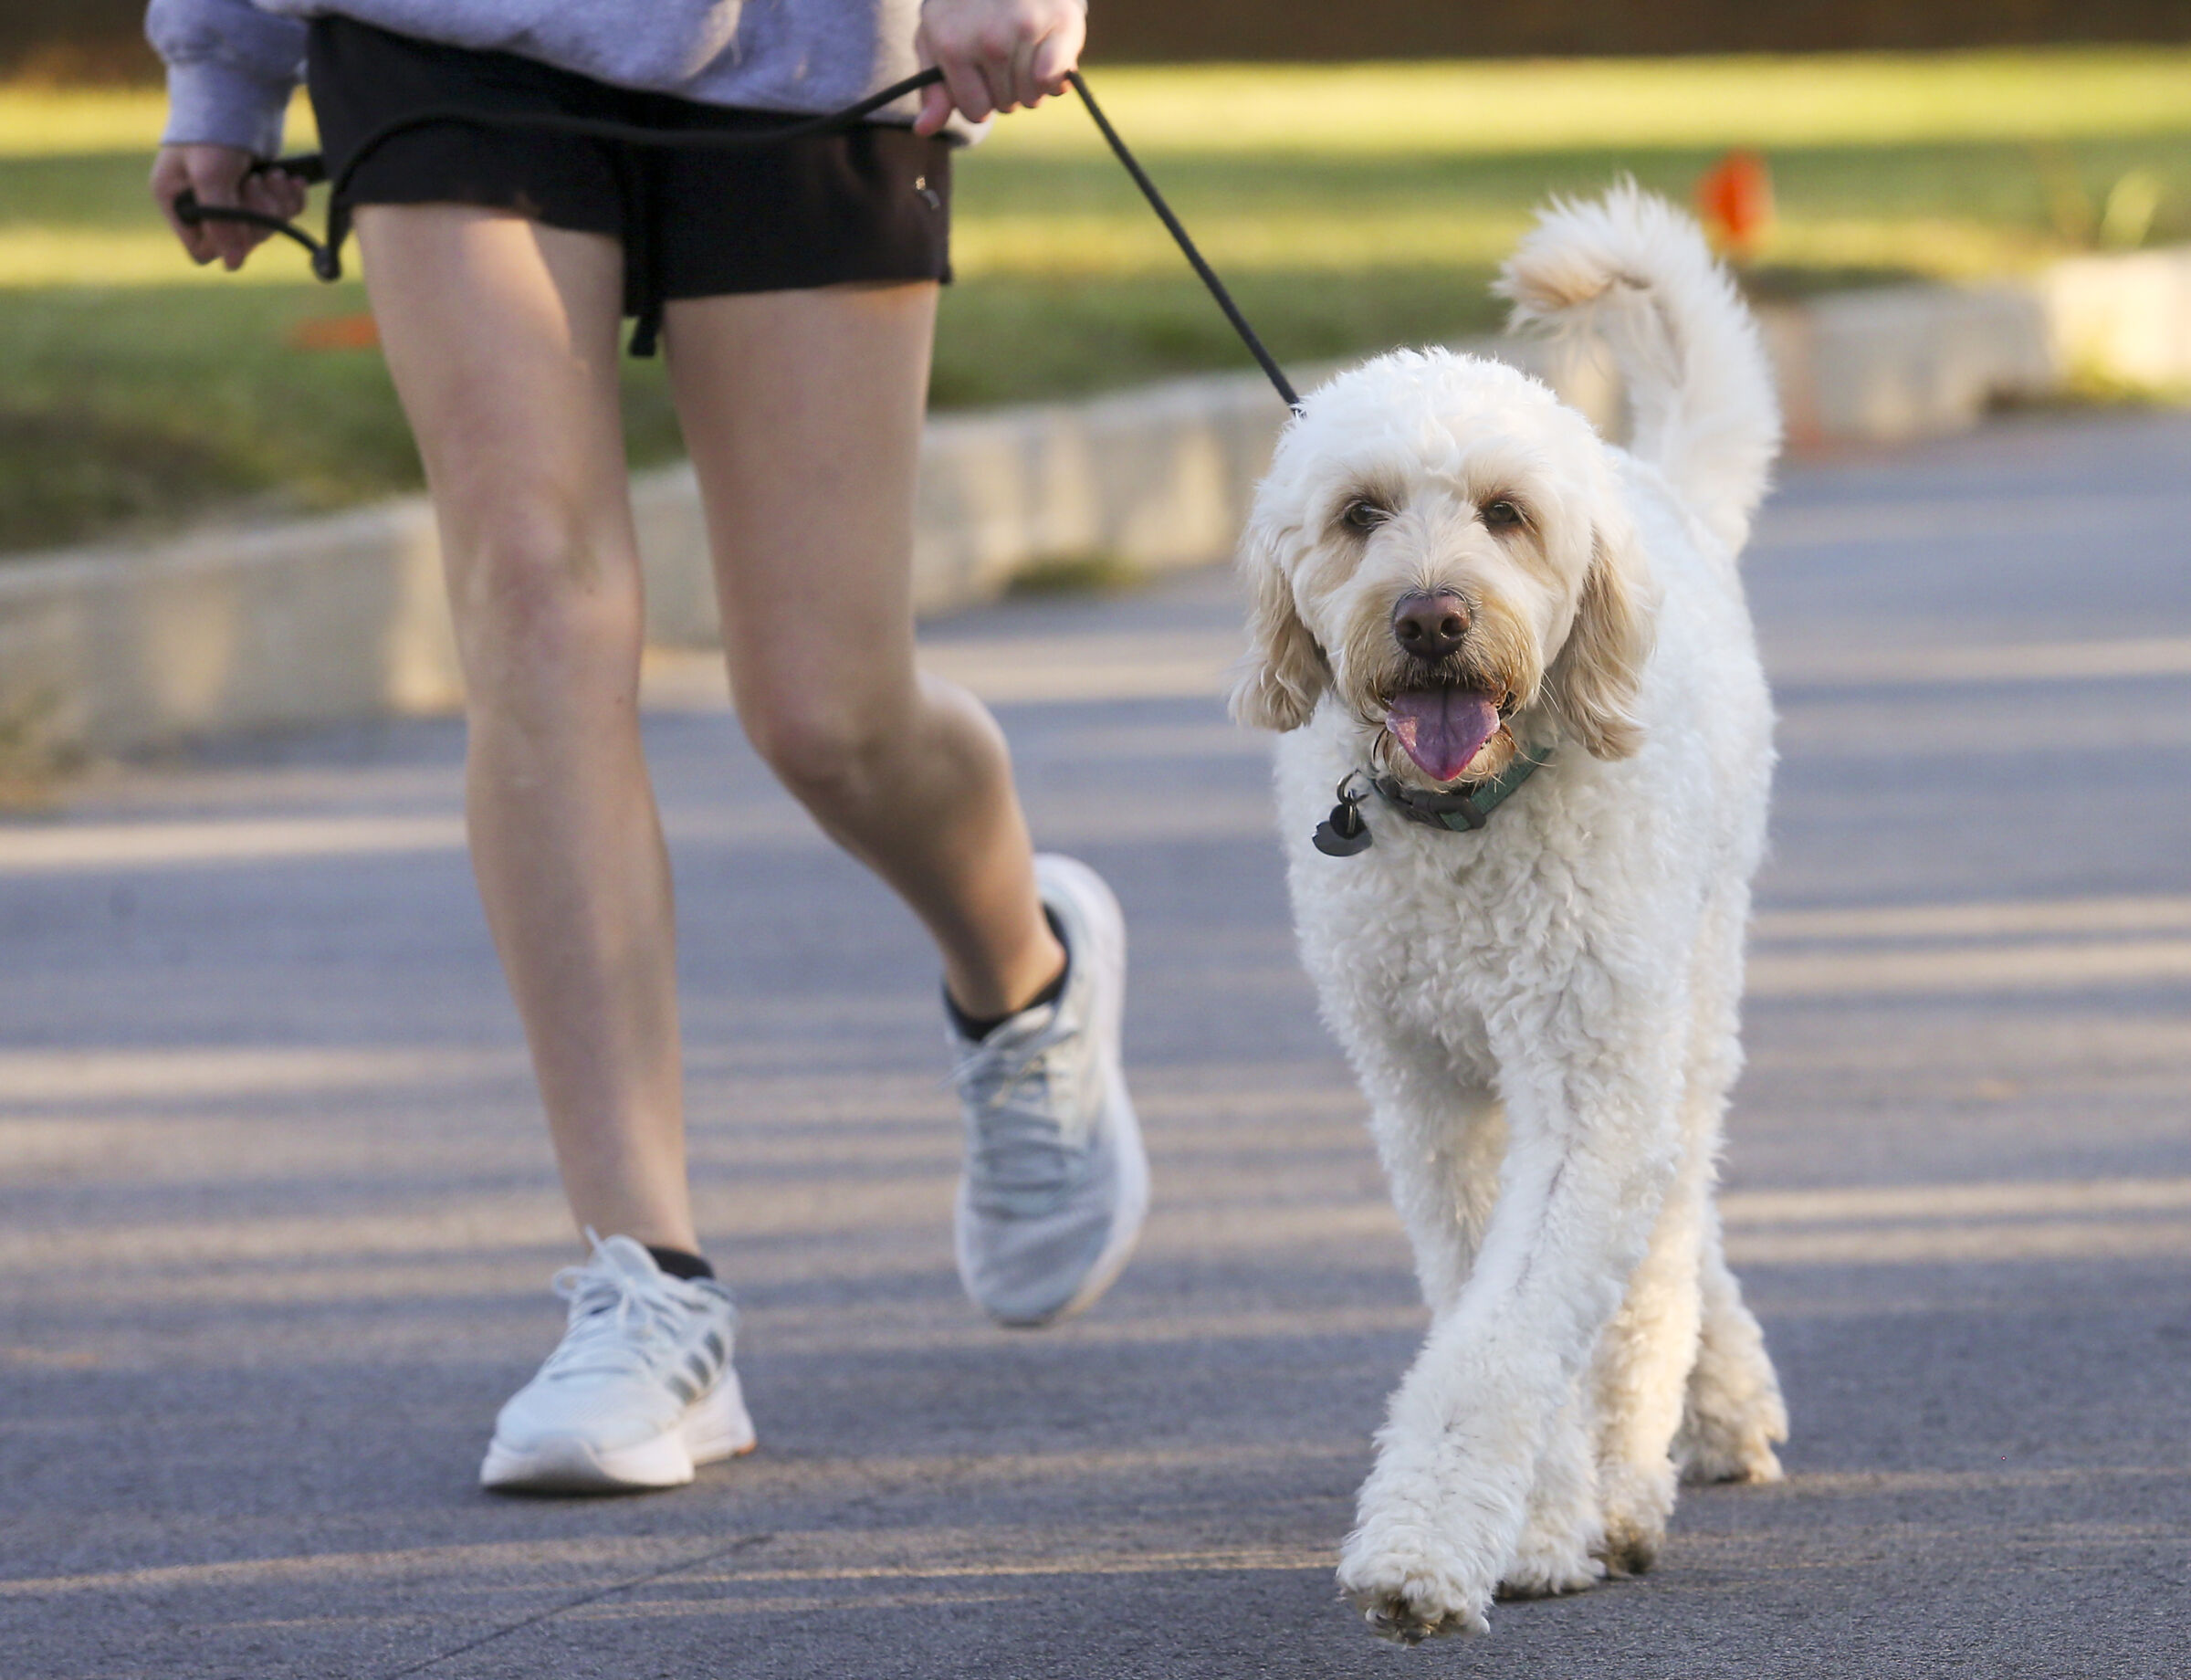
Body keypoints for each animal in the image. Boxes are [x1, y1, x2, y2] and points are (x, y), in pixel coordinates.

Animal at [1235, 184, 1797, 1647]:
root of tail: (1664, 493)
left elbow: (1509, 1336)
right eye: (1362, 513)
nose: (1432, 617)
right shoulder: (1428, 1099)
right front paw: (1537, 1526)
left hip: (1689, 985)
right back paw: (1699, 1417)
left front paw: (1430, 1554)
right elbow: (1486, 1310)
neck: (1467, 830)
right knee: (1673, 1225)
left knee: (1663, 1239)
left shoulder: (1585, 1080)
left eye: (1504, 514)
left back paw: (1644, 1467)